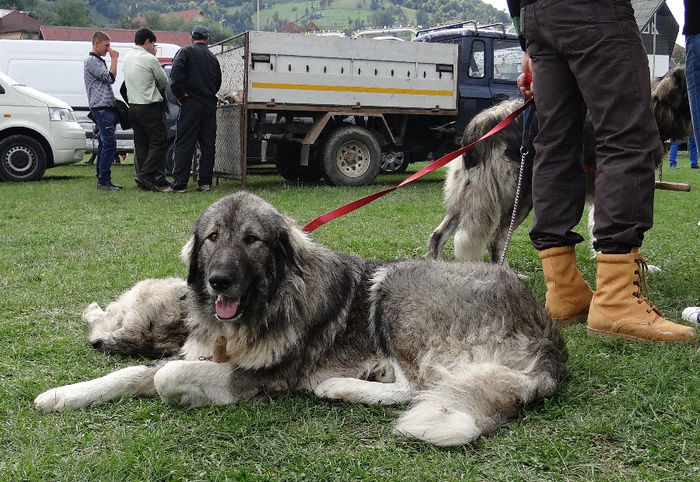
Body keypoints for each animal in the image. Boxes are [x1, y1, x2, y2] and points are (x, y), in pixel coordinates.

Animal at [34, 190, 568, 446]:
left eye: (252, 240)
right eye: (212, 237)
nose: (219, 281)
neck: (261, 307)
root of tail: (549, 337)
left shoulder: (266, 376)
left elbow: (167, 376)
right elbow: (130, 373)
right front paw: (61, 396)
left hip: (394, 287)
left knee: (415, 389)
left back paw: (338, 386)